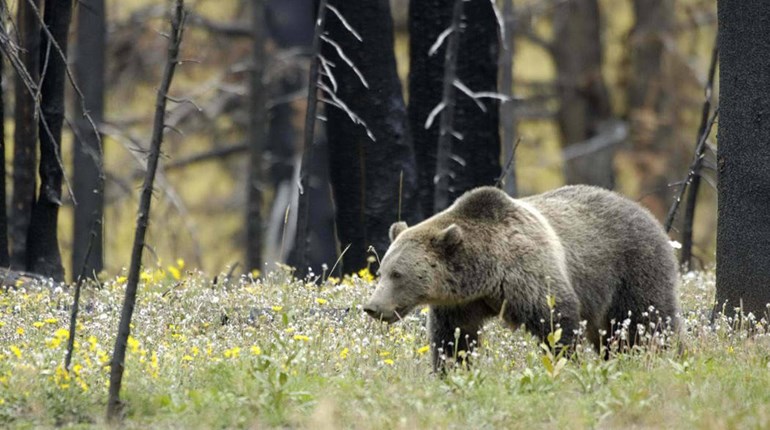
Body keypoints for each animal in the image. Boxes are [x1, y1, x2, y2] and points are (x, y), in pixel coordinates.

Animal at [363, 185, 680, 370]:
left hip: (633, 268)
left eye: (398, 274)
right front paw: (452, 370)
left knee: (646, 321)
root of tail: (646, 212)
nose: (372, 307)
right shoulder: (461, 303)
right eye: (381, 271)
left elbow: (556, 322)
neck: (485, 274)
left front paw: (566, 364)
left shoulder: (528, 274)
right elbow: (454, 338)